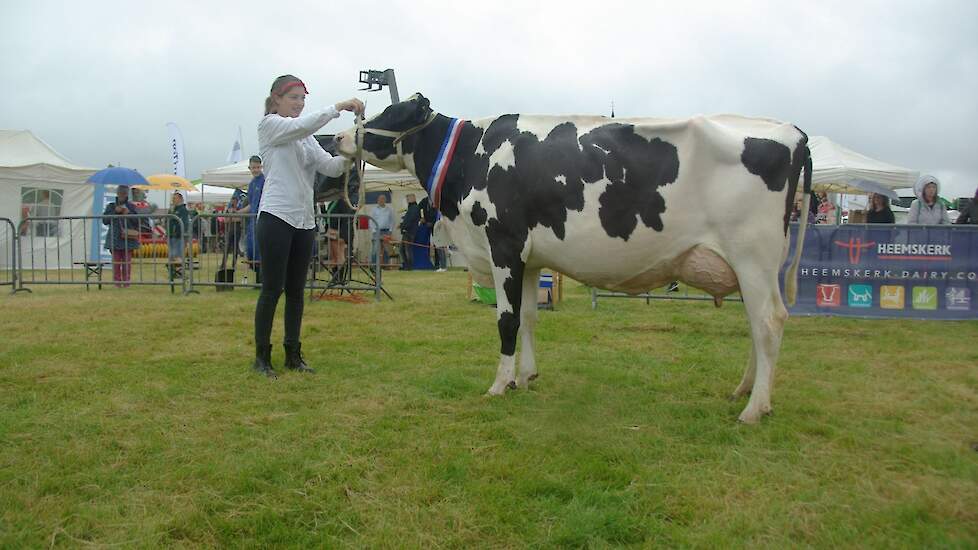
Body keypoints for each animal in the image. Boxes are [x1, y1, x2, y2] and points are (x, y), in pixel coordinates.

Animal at [336, 95, 808, 424]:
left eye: (389, 113)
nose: (338, 137)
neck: (472, 155)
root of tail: (793, 132)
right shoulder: (530, 259)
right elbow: (528, 317)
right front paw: (525, 378)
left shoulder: (503, 244)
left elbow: (506, 321)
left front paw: (498, 385)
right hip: (752, 266)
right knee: (758, 325)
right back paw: (744, 391)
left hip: (753, 256)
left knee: (768, 322)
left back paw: (754, 409)